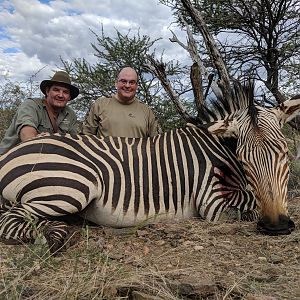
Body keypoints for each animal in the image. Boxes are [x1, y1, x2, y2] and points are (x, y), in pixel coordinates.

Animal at [0, 82, 298, 253]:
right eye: (244, 158)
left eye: (285, 153)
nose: (276, 226)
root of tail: (9, 154)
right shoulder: (211, 202)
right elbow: (250, 203)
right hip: (71, 187)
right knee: (10, 220)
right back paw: (50, 234)